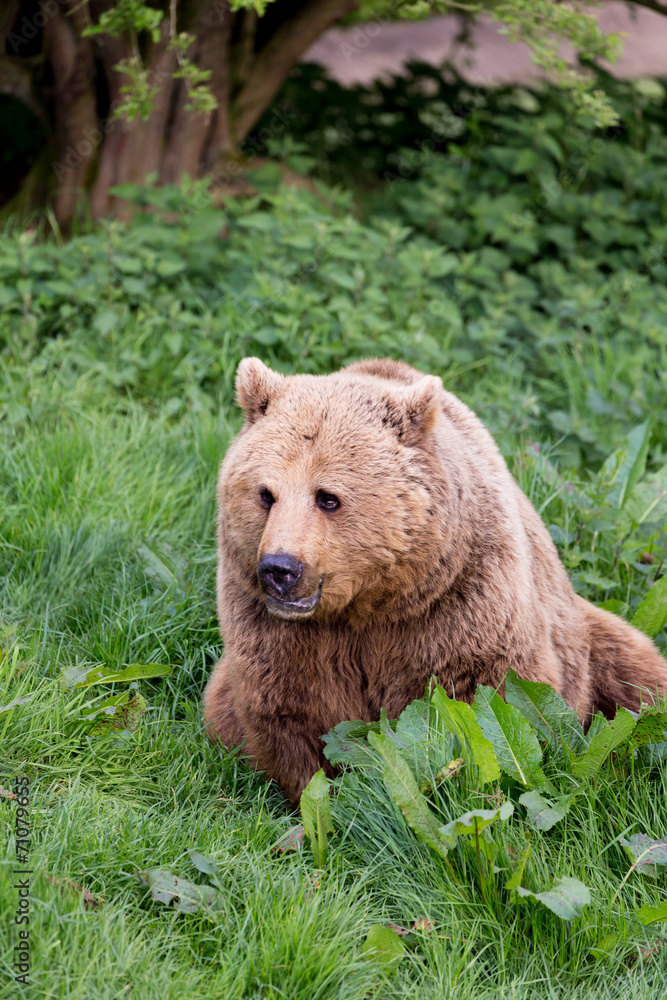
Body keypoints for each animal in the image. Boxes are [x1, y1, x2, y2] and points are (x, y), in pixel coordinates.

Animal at [203, 356, 667, 805]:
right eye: (266, 493)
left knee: (639, 680)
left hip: (586, 636)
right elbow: (295, 714)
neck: (373, 602)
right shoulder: (280, 631)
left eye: (328, 497)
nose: (279, 568)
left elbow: (479, 705)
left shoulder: (458, 605)